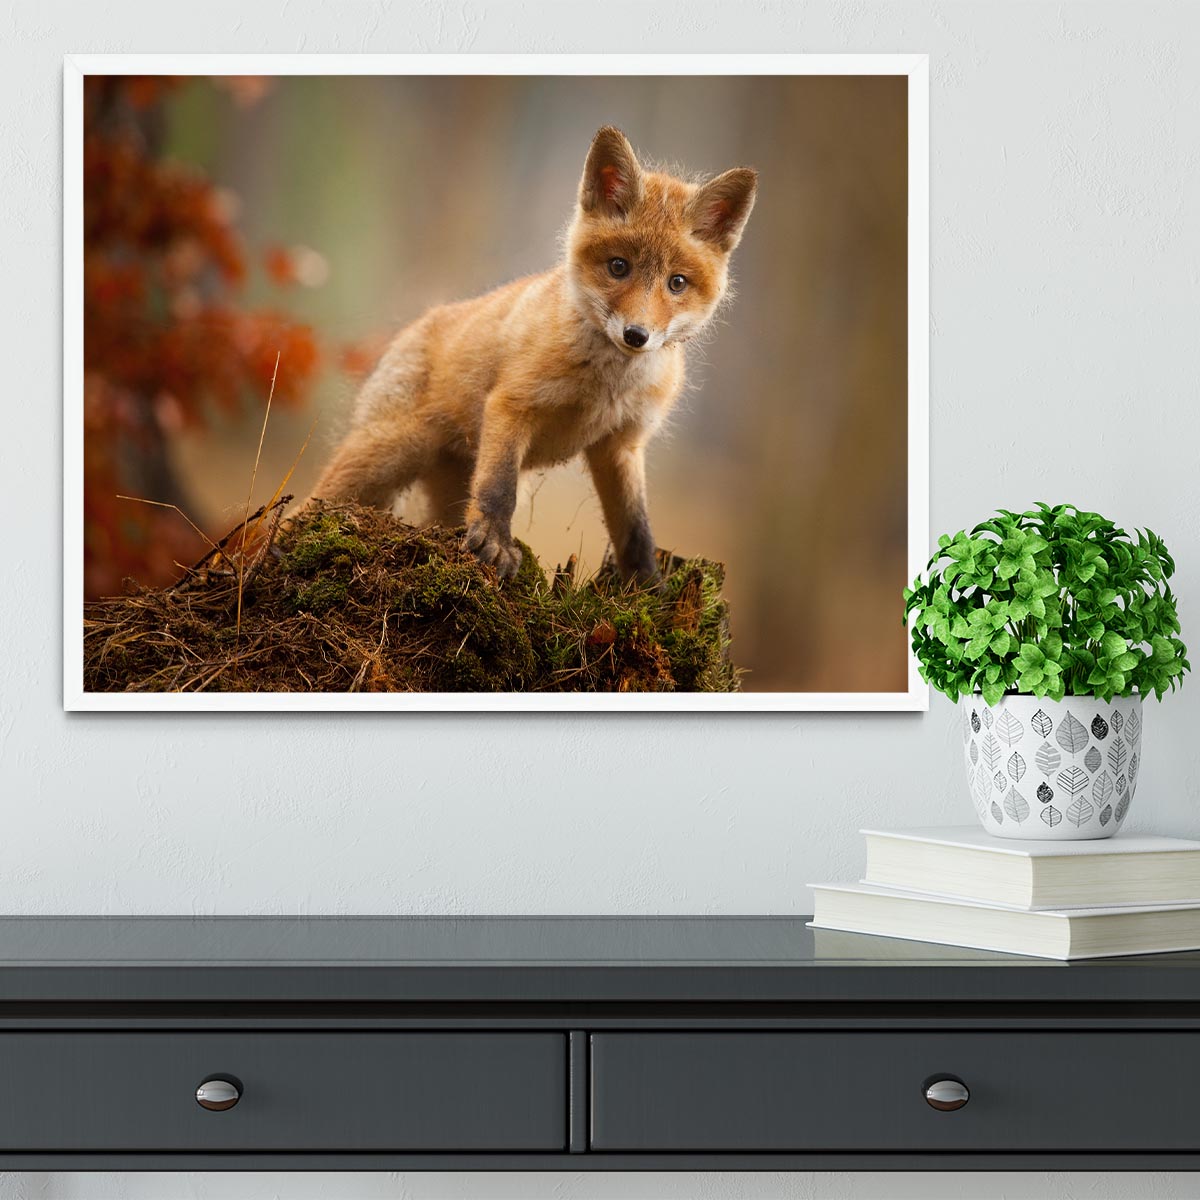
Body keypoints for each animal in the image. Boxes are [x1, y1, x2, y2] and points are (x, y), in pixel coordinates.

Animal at [311, 125, 757, 584]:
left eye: (677, 283)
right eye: (618, 267)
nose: (636, 335)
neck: (606, 387)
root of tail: (417, 324)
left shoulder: (621, 444)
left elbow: (635, 527)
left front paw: (648, 585)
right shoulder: (512, 406)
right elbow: (498, 489)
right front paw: (494, 544)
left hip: (444, 486)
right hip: (386, 455)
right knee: (312, 504)